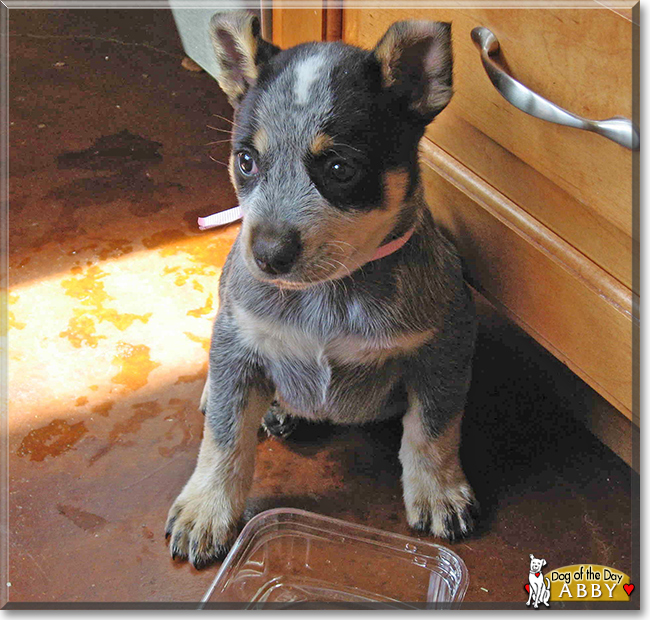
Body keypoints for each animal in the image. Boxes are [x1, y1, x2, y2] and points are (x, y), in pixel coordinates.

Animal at [163, 12, 476, 568]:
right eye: (246, 160)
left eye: (339, 168)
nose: (267, 254)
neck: (328, 295)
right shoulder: (239, 340)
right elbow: (224, 435)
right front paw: (206, 508)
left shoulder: (446, 345)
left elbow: (433, 428)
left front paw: (439, 491)